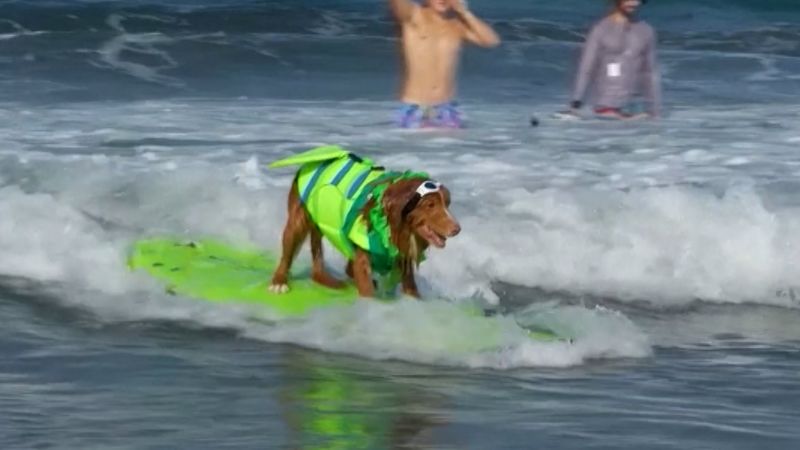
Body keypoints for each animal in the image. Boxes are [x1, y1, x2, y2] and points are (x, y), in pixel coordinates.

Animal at [268, 146, 460, 298]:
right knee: (287, 254)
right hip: (297, 219)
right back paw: (279, 282)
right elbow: (366, 290)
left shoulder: (401, 256)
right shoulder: (363, 256)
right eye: (430, 205)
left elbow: (410, 287)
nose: (457, 229)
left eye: (448, 203)